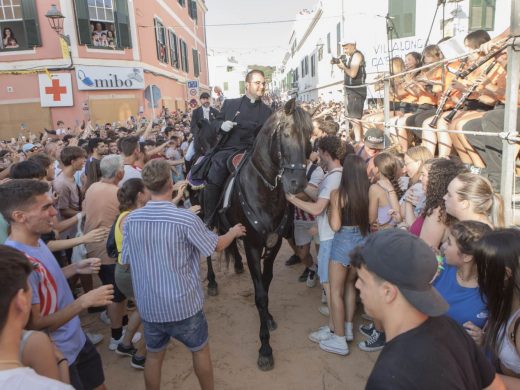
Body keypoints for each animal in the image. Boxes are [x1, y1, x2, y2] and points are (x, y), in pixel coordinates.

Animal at [207, 99, 312, 370]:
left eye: (309, 135)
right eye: (286, 134)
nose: (297, 183)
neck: (265, 192)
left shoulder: (273, 245)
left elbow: (266, 282)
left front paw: (269, 318)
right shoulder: (253, 246)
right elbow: (261, 295)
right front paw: (265, 348)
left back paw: (237, 265)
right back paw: (211, 282)